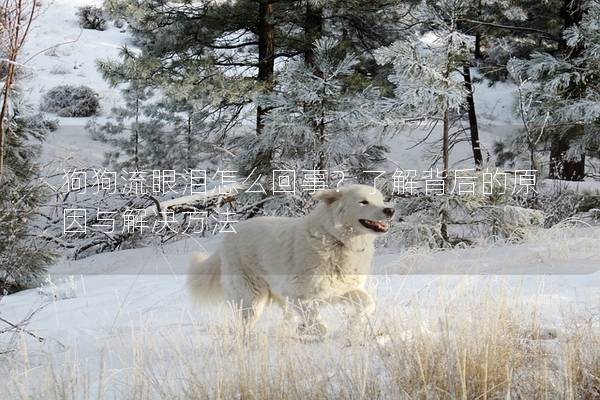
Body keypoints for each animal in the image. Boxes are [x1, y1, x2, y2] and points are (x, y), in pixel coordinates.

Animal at [188, 184, 394, 338]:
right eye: (363, 202)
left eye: (381, 200)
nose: (390, 210)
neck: (336, 239)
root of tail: (228, 235)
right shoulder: (298, 295)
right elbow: (321, 327)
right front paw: (311, 331)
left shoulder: (341, 290)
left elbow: (368, 304)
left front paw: (351, 326)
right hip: (253, 297)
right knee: (246, 324)